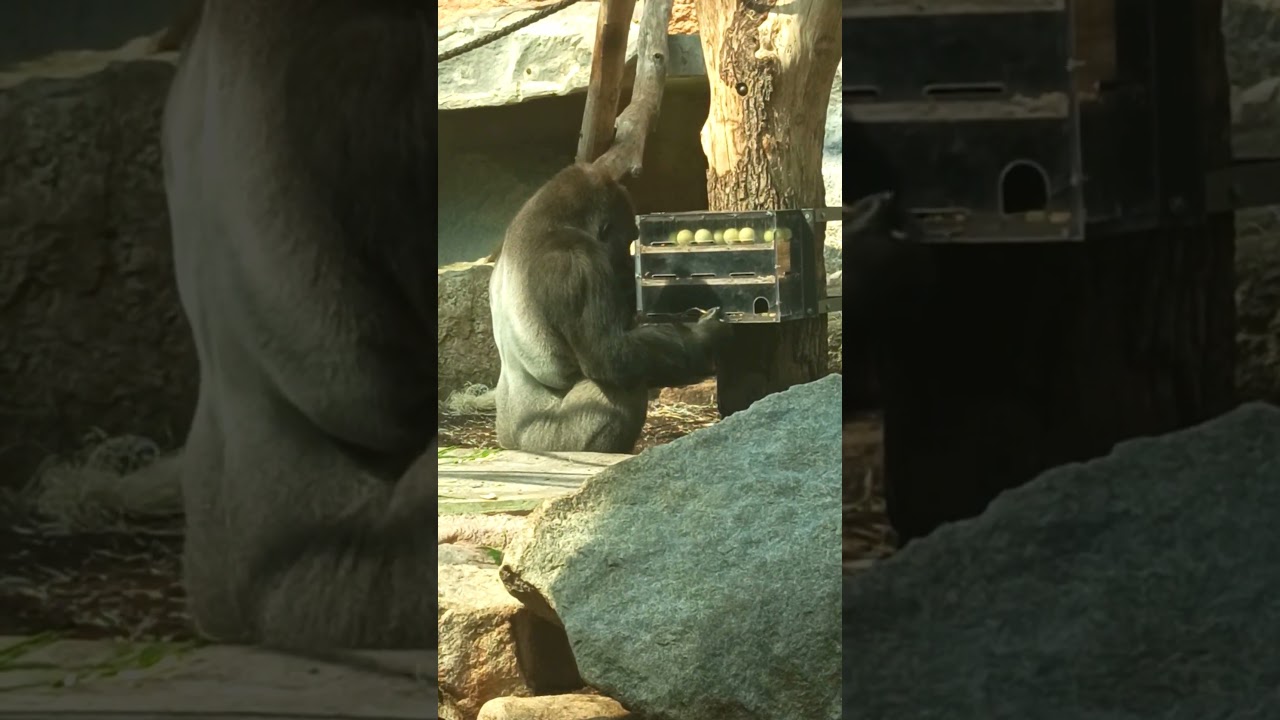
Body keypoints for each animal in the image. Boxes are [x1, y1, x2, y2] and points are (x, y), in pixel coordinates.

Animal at [488, 163, 730, 454]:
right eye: (625, 240)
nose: (626, 264)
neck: (550, 221)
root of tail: (510, 443)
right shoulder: (579, 263)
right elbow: (609, 354)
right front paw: (702, 336)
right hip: (547, 441)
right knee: (620, 387)